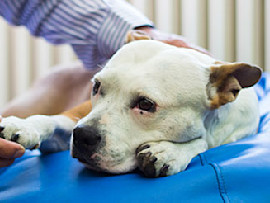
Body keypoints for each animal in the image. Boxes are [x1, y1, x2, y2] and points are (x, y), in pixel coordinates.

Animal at [0, 39, 262, 176]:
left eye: (145, 104)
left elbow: (204, 142)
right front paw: (22, 126)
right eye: (97, 86)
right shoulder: (76, 118)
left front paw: (170, 151)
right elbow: (52, 119)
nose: (83, 136)